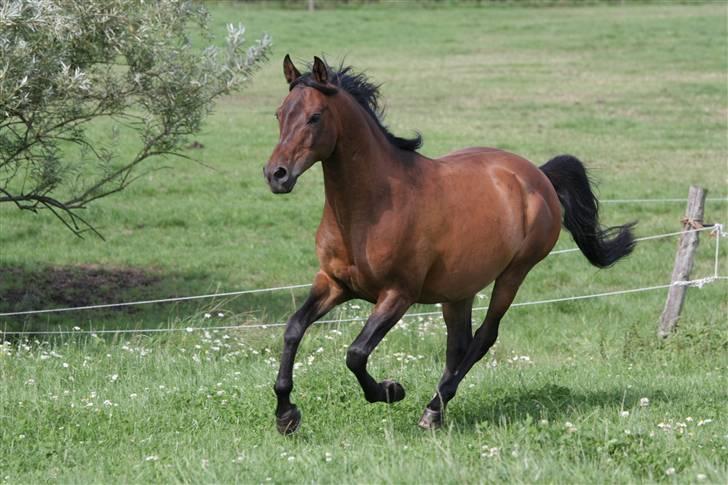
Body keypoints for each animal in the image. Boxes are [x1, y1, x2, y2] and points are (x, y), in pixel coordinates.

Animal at [264, 54, 636, 432]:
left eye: (315, 116)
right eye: (279, 114)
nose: (276, 175)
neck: (370, 209)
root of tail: (538, 174)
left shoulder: (398, 294)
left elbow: (356, 353)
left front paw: (391, 390)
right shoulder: (333, 283)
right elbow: (293, 329)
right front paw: (285, 414)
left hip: (513, 274)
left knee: (484, 337)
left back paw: (433, 409)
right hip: (459, 289)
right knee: (458, 345)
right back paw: (438, 408)